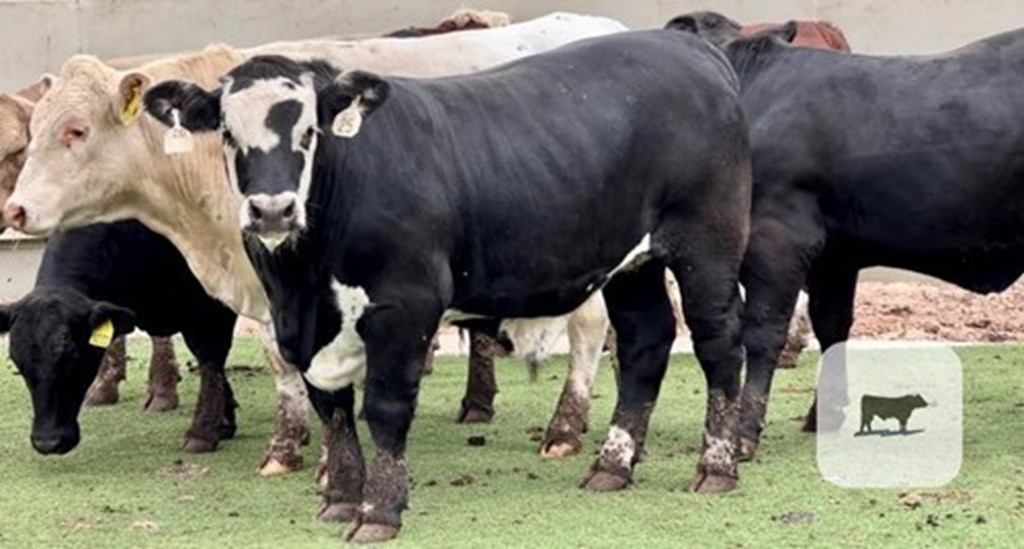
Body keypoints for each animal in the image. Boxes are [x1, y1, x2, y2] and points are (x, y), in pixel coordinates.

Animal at [0, 221, 237, 454]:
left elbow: (209, 358)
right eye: (18, 362)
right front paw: (224, 423)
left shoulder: (210, 304)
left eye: (73, 356)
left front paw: (202, 432)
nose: (47, 442)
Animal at [145, 29, 751, 541]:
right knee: (647, 343)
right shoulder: (301, 324)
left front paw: (380, 510)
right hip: (632, 265)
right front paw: (341, 497)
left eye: (310, 132)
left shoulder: (405, 306)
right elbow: (331, 407)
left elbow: (384, 408)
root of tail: (688, 46)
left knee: (719, 343)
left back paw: (716, 465)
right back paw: (612, 465)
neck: (305, 278)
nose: (273, 210)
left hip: (709, 246)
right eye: (227, 133)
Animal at [671, 12, 1024, 461]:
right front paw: (823, 414)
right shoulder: (835, 255)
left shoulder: (777, 237)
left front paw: (743, 433)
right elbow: (832, 325)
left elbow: (764, 332)